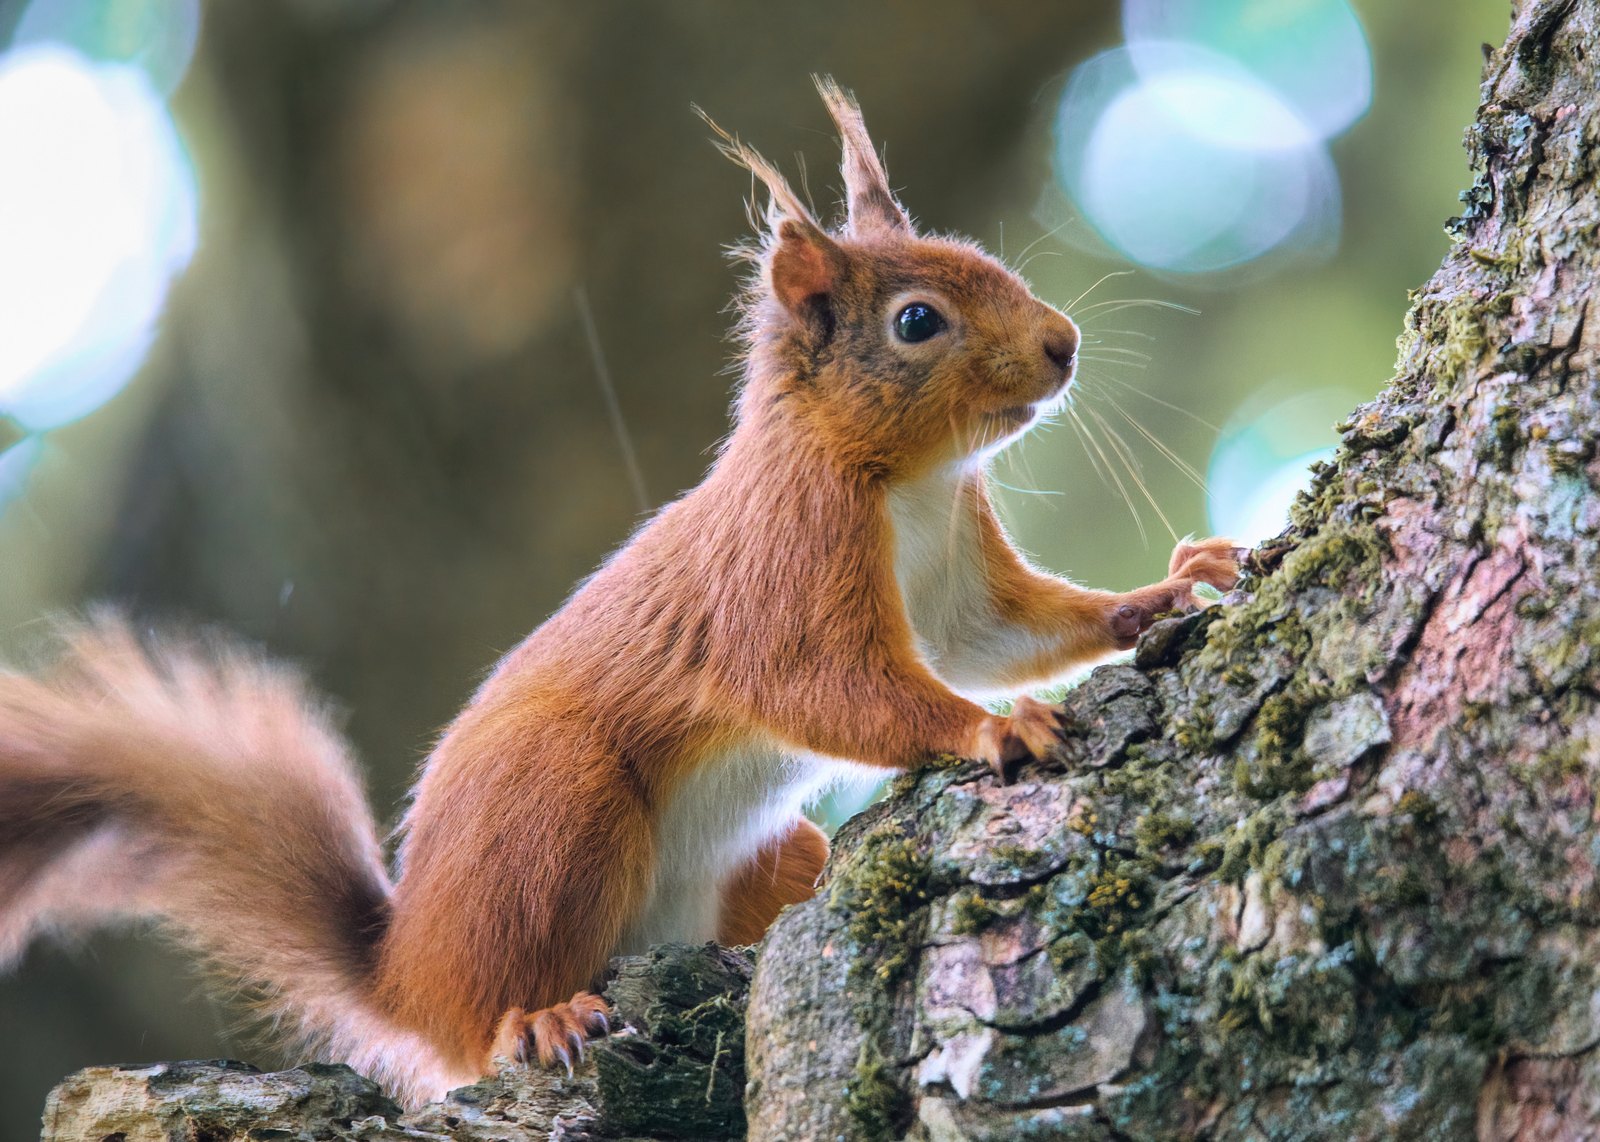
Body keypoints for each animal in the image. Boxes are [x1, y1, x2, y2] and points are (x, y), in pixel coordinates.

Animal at [0, 78, 1240, 1108]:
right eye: (917, 320)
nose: (1063, 344)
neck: (912, 487)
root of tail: (403, 974)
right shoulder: (785, 561)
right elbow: (831, 685)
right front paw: (991, 729)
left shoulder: (959, 575)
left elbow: (1006, 631)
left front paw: (1158, 594)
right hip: (553, 806)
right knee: (481, 1021)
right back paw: (535, 1017)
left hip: (762, 856)